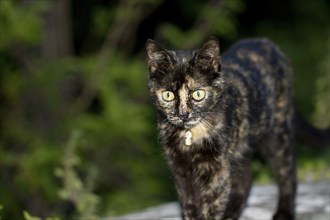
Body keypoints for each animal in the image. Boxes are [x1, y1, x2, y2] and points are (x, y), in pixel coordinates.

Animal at [146, 37, 300, 219]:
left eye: (198, 94)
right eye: (168, 95)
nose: (183, 114)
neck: (190, 136)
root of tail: (267, 42)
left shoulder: (217, 170)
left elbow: (212, 207)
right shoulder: (181, 171)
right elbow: (189, 206)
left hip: (277, 132)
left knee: (287, 172)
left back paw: (284, 212)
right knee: (246, 177)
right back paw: (232, 212)